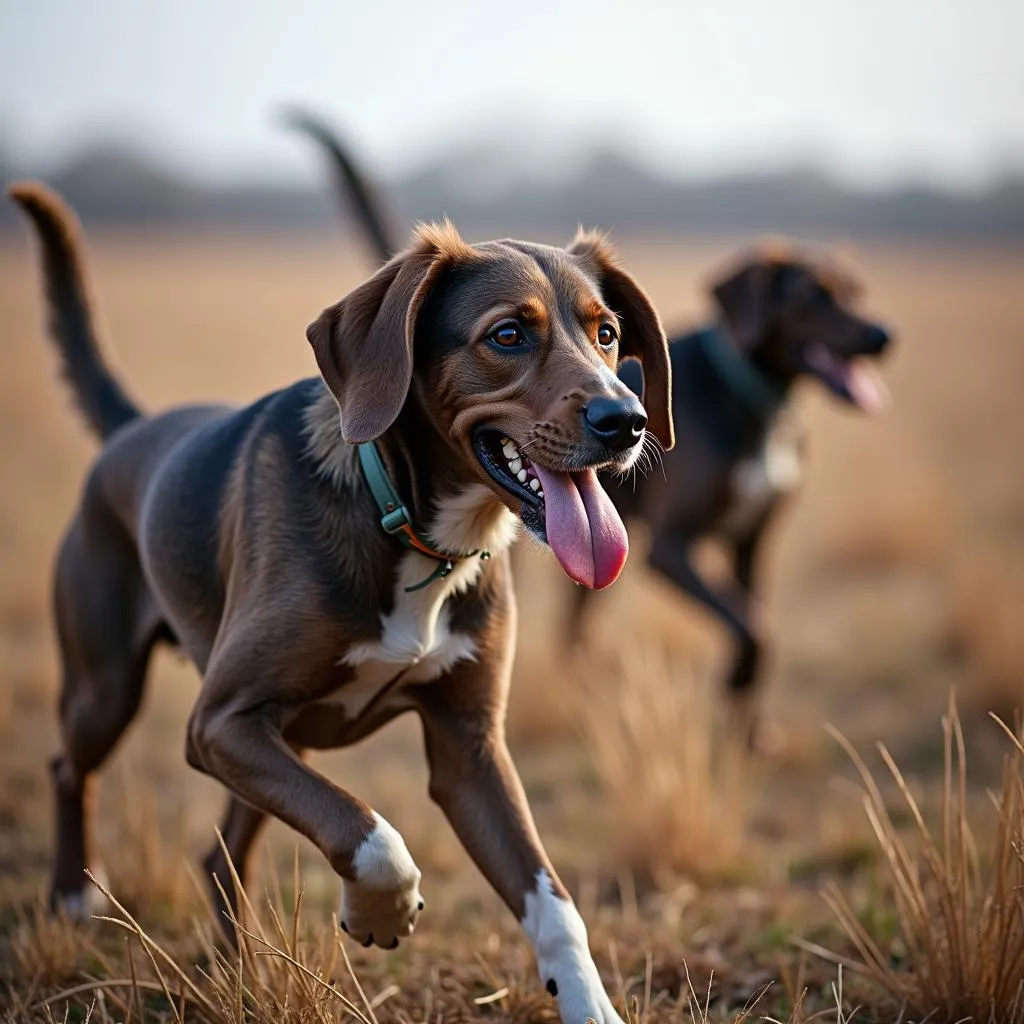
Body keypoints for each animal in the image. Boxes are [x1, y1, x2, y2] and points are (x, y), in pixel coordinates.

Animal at [12, 184, 675, 1024]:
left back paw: (239, 969)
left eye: (607, 333)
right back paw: (71, 898)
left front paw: (590, 1005)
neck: (413, 528)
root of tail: (132, 430)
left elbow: (554, 905)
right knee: (70, 765)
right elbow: (369, 832)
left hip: (274, 742)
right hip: (115, 692)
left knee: (222, 854)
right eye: (508, 334)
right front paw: (379, 911)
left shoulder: (469, 751)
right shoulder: (220, 720)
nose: (628, 422)